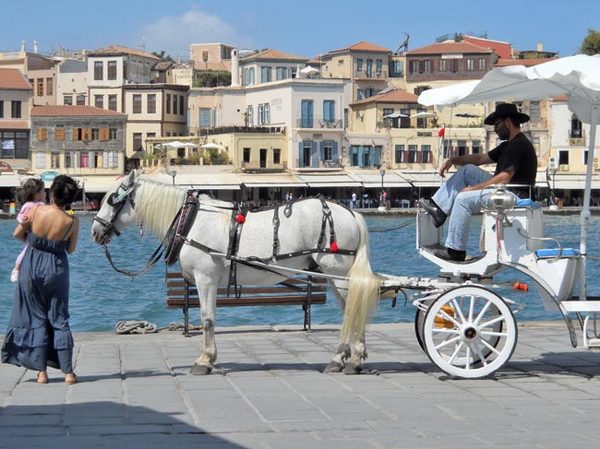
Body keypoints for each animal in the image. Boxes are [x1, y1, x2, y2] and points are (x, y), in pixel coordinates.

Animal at [91, 172, 382, 374]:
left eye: (111, 199)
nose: (95, 231)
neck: (190, 220)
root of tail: (350, 212)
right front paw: (209, 358)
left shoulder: (205, 279)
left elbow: (207, 319)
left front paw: (205, 360)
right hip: (333, 275)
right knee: (349, 310)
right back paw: (341, 358)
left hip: (337, 272)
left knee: (353, 309)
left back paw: (354, 359)